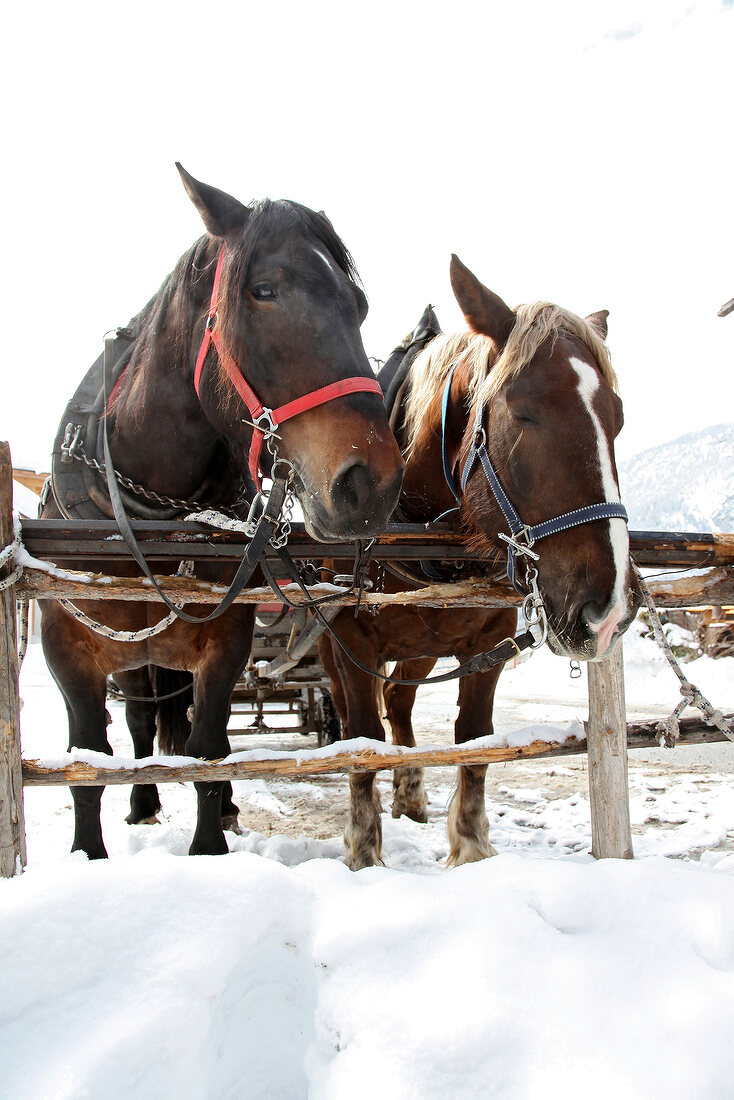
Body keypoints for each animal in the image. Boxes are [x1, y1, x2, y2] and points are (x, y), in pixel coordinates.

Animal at [319, 255, 638, 866]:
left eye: (617, 417)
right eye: (525, 412)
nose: (606, 609)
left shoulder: (488, 641)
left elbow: (474, 737)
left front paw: (469, 844)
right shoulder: (351, 640)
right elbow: (363, 739)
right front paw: (363, 851)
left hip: (422, 648)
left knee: (400, 701)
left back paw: (410, 793)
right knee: (360, 718)